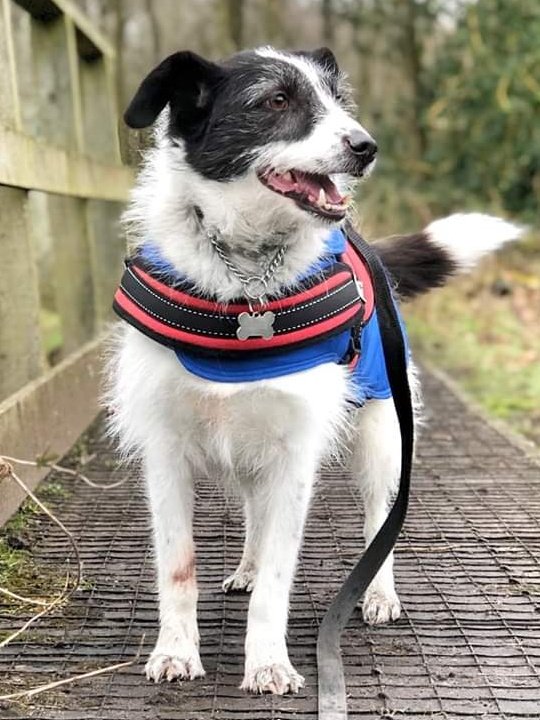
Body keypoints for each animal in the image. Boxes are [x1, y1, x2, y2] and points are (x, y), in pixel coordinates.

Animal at [106, 46, 524, 696]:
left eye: (336, 100)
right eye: (276, 101)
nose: (366, 146)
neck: (245, 279)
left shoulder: (295, 453)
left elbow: (279, 582)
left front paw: (268, 662)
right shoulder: (166, 451)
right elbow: (178, 569)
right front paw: (175, 651)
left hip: (382, 436)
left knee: (380, 518)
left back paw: (378, 594)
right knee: (254, 514)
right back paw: (247, 567)